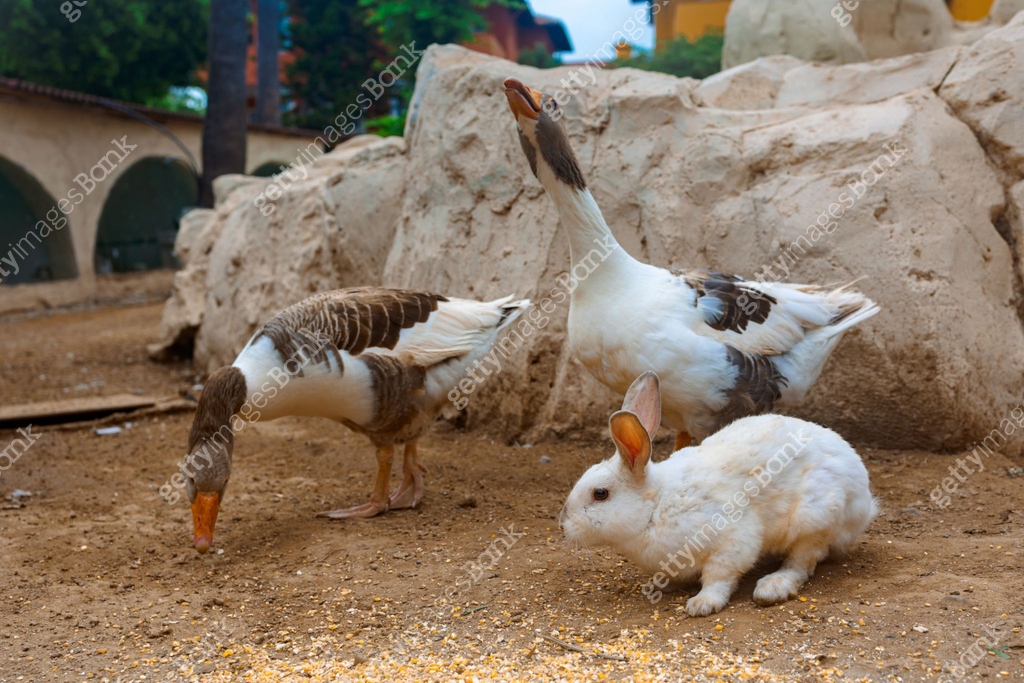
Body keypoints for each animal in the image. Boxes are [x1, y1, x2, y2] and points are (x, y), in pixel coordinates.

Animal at [560, 370, 877, 617]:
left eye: (600, 494)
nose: (563, 525)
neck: (657, 506)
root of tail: (864, 497)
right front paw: (665, 586)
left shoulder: (732, 542)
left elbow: (718, 576)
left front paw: (702, 604)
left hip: (814, 518)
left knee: (802, 563)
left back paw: (772, 587)